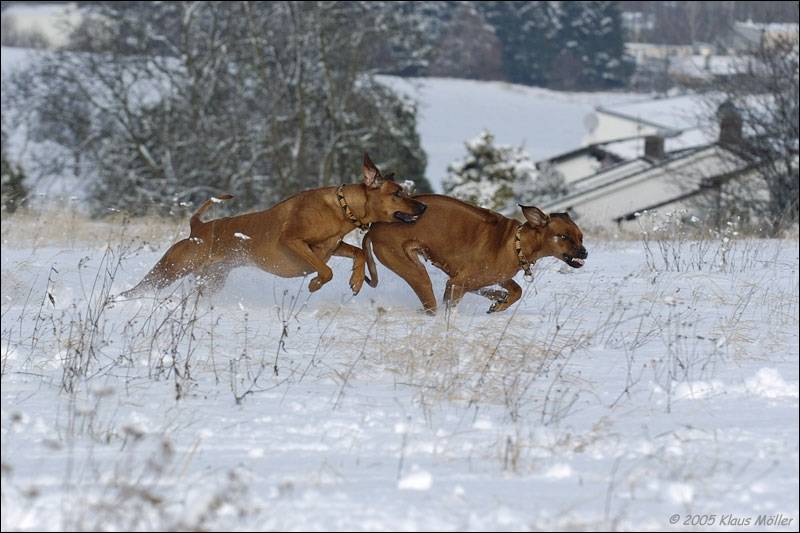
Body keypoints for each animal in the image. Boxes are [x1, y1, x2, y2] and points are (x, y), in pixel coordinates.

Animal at [120, 154, 427, 299]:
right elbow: (325, 270)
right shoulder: (292, 242)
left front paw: (356, 280)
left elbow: (358, 252)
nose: (423, 208)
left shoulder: (332, 246)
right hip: (171, 268)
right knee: (141, 286)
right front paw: (315, 283)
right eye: (397, 193)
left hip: (212, 278)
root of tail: (198, 227)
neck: (342, 207)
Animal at [362, 194, 587, 314]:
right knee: (431, 306)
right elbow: (452, 302)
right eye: (564, 237)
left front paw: (499, 302)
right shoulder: (457, 283)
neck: (516, 243)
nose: (584, 253)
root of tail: (374, 228)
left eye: (581, 237)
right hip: (414, 271)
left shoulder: (495, 277)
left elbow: (516, 290)